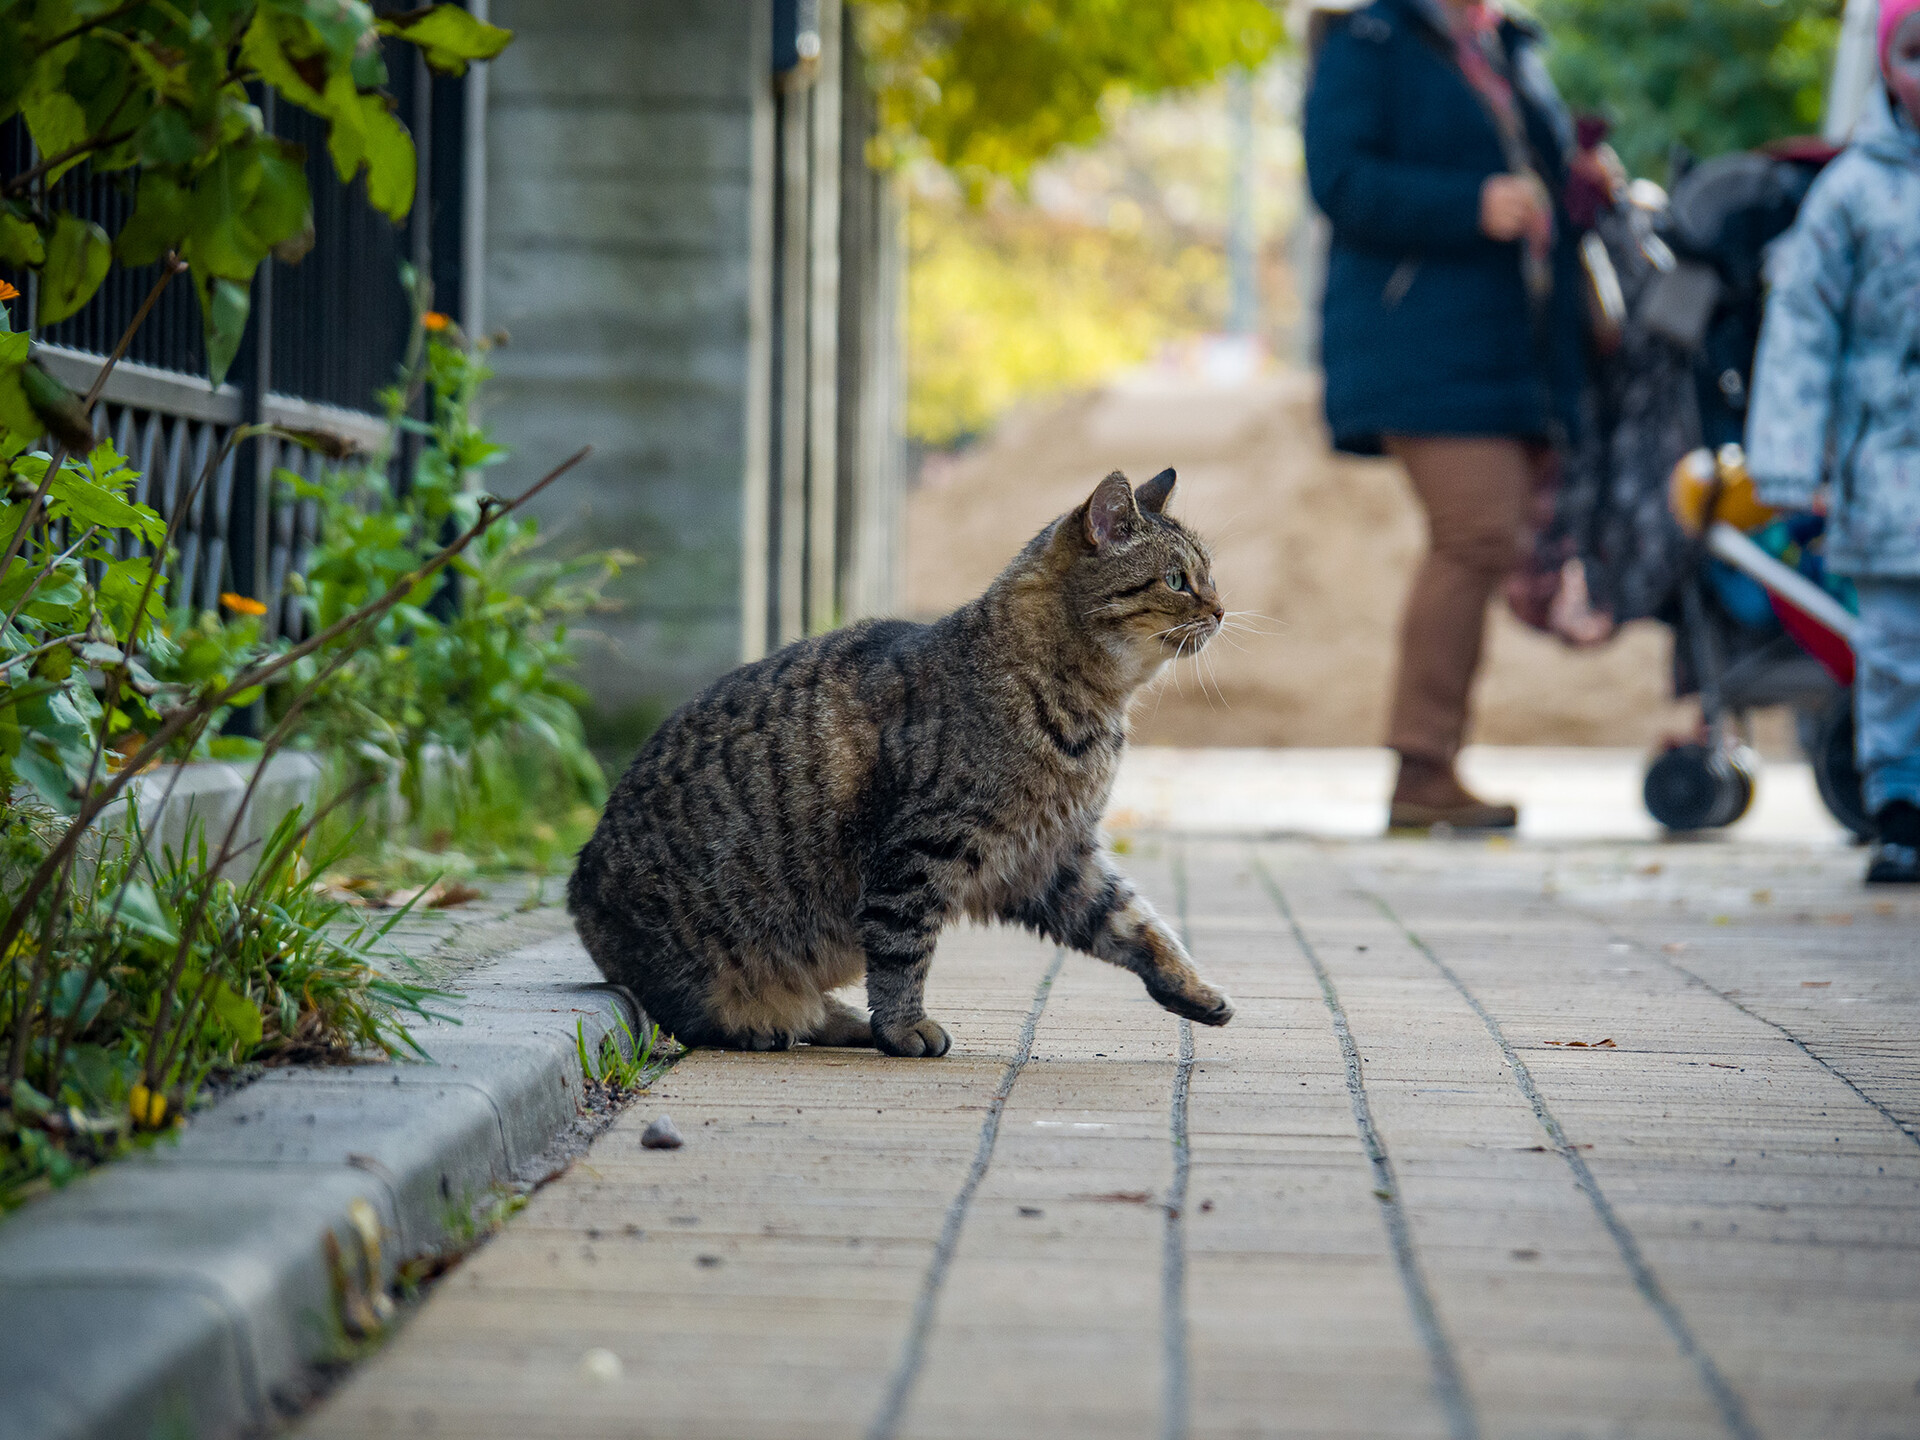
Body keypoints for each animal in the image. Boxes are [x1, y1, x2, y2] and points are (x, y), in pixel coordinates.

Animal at [564, 468, 1228, 1052]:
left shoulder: (1050, 857)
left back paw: (836, 1019)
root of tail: (577, 892)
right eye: (1177, 580)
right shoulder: (925, 848)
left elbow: (1137, 922)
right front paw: (905, 1026)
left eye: (1209, 576)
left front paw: (1191, 988)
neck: (1091, 714)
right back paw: (765, 1021)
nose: (1222, 610)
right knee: (696, 1013)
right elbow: (902, 948)